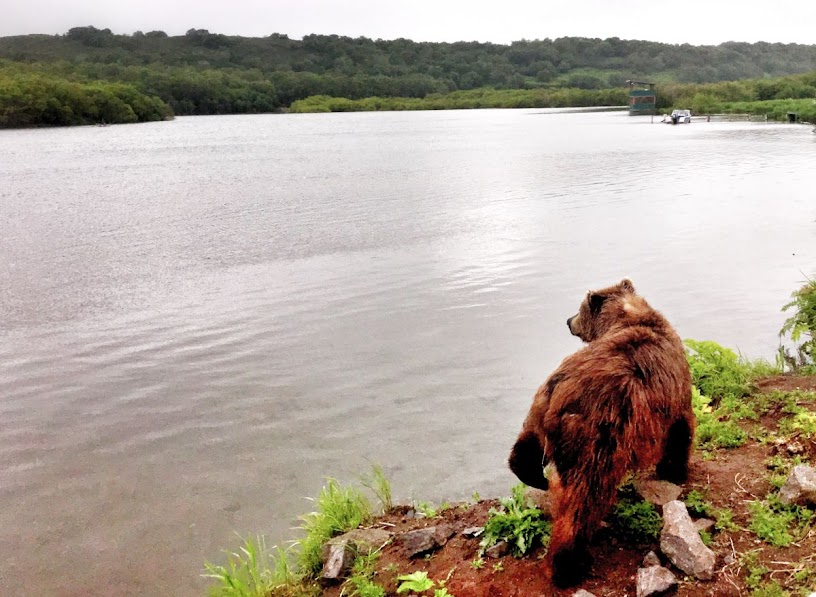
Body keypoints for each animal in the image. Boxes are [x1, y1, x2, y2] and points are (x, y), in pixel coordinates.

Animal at [506, 280, 692, 588]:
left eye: (578, 310)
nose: (568, 320)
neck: (624, 317)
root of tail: (563, 393)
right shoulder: (676, 391)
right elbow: (681, 430)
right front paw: (674, 470)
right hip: (599, 437)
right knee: (583, 502)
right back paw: (568, 566)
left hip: (542, 399)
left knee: (526, 444)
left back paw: (534, 477)